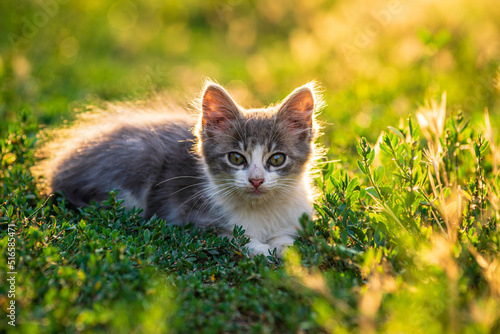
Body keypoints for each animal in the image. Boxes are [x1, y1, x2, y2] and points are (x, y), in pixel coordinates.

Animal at [40, 83, 320, 256]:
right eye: (236, 158)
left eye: (277, 159)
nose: (256, 181)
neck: (261, 211)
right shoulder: (194, 218)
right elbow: (233, 236)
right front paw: (262, 249)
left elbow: (287, 238)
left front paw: (283, 247)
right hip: (140, 154)